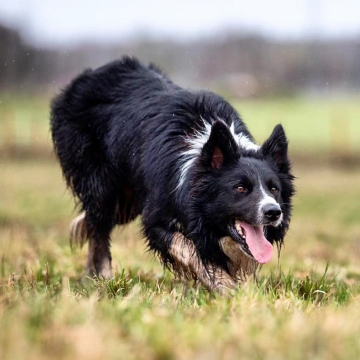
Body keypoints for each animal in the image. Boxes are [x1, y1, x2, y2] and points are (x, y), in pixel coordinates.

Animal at [50, 56, 294, 292]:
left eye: (274, 189)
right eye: (240, 188)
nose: (274, 212)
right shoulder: (156, 219)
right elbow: (191, 250)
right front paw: (227, 288)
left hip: (125, 203)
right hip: (101, 184)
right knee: (98, 226)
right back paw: (102, 279)